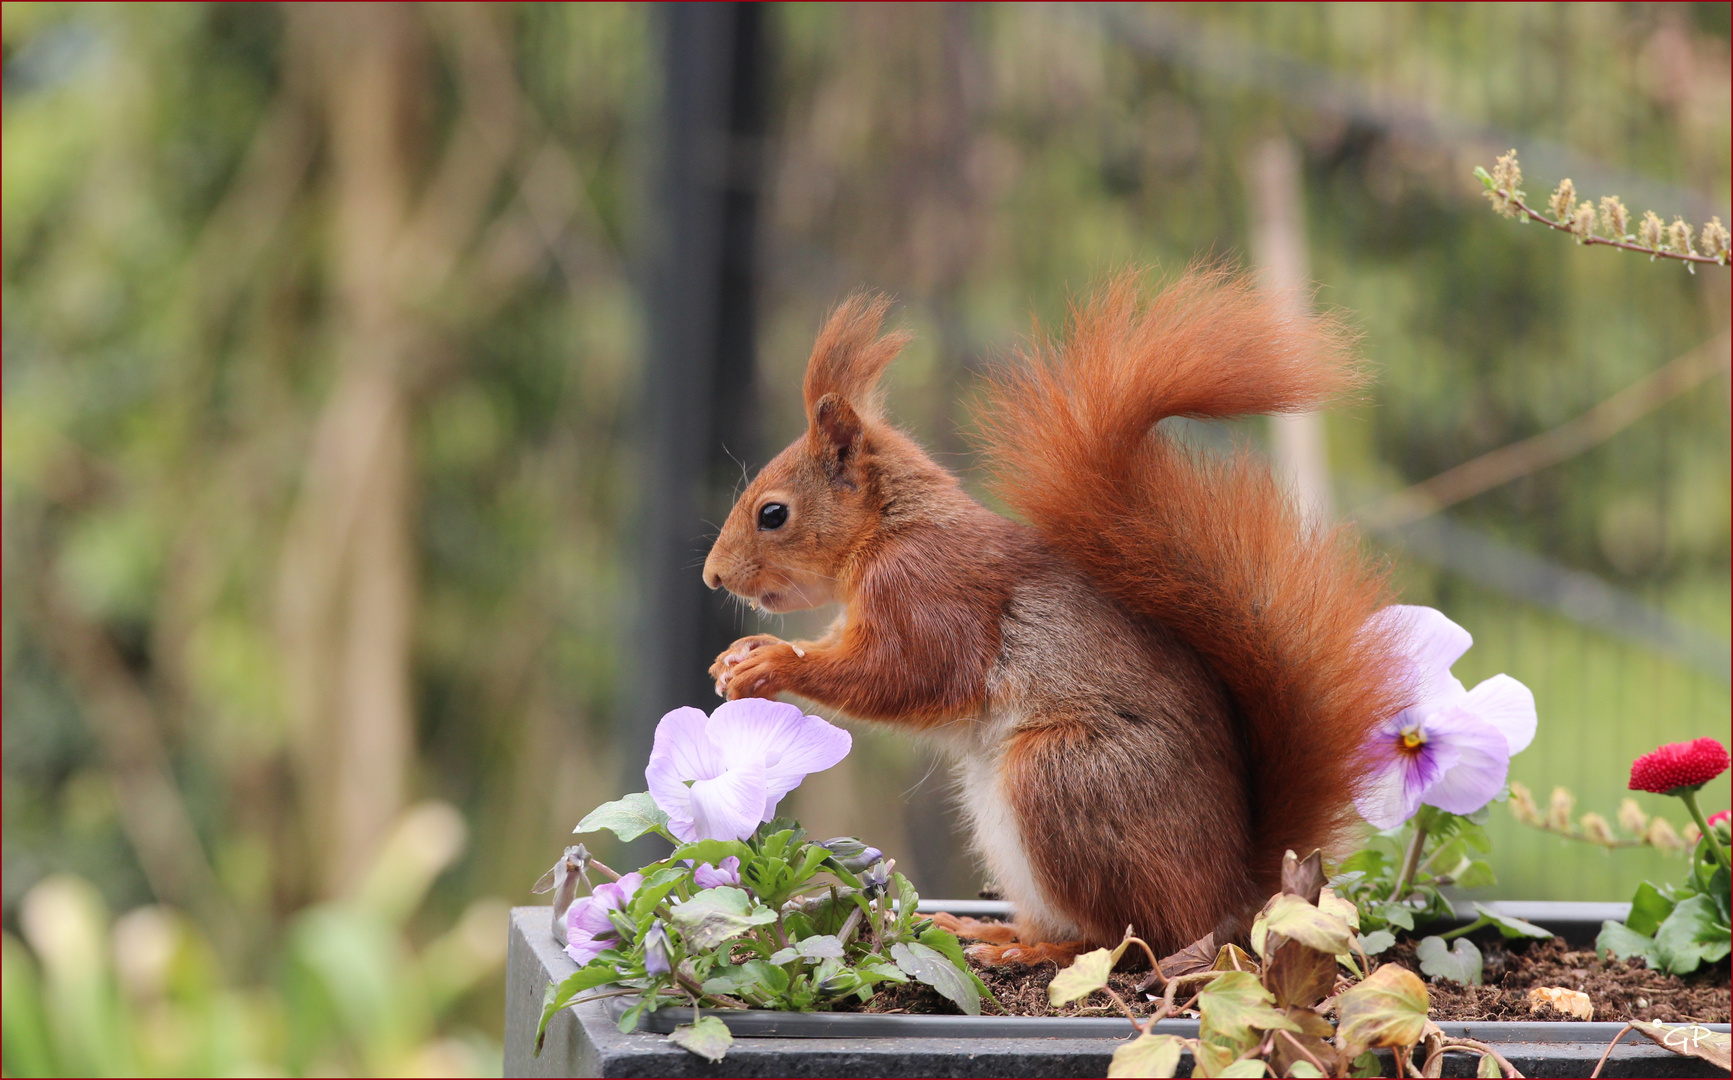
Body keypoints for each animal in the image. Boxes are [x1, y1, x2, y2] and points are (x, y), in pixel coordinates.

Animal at [700, 270, 1407, 963]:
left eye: (772, 514)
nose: (713, 577)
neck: (891, 529)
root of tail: (1230, 890)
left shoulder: (928, 592)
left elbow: (906, 674)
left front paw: (772, 662)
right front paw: (736, 656)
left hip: (1060, 779)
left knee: (1129, 937)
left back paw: (1034, 951)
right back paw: (991, 931)